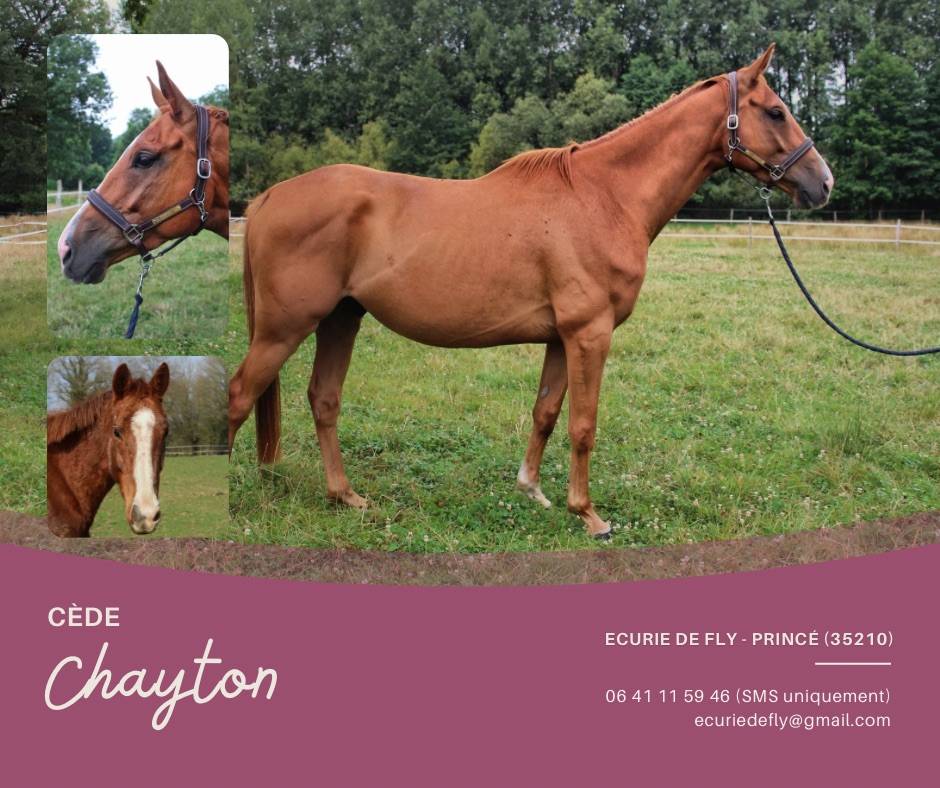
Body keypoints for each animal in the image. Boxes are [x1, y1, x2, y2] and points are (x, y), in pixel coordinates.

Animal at [227, 45, 834, 538]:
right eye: (775, 111)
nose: (823, 183)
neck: (605, 196)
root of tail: (268, 197)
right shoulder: (590, 334)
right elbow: (583, 424)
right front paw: (588, 515)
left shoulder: (560, 338)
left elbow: (546, 411)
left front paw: (533, 491)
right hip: (285, 328)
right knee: (237, 396)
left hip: (341, 318)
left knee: (323, 399)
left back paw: (345, 496)